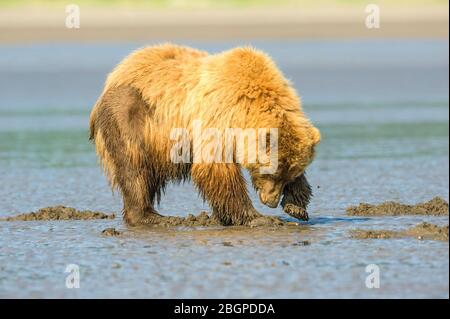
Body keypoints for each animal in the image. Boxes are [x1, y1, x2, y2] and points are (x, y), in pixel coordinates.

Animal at [89, 43, 320, 226]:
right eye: (270, 173)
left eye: (287, 174)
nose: (270, 201)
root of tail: (113, 75)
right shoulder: (216, 118)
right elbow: (216, 169)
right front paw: (259, 217)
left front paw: (296, 206)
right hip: (130, 112)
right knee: (134, 168)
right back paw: (152, 217)